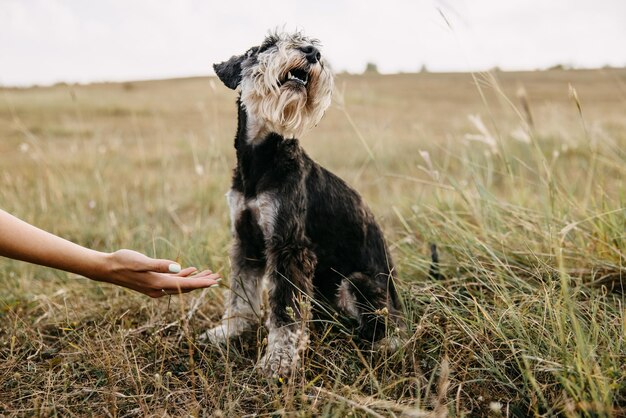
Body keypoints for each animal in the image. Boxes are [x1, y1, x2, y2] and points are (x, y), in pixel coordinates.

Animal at [202, 28, 402, 376]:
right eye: (267, 45)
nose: (312, 52)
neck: (261, 161)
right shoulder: (246, 239)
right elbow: (241, 293)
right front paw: (229, 331)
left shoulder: (289, 247)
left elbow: (284, 312)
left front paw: (278, 362)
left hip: (355, 284)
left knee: (379, 328)